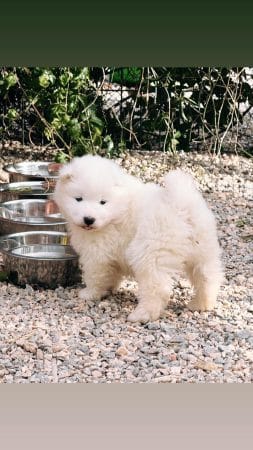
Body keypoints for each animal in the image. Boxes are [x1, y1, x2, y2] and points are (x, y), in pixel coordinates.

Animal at [52, 156, 221, 324]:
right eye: (78, 199)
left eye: (103, 202)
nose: (89, 219)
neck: (117, 210)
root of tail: (181, 205)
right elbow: (111, 274)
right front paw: (109, 289)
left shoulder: (97, 253)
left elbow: (95, 275)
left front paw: (89, 293)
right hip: (204, 251)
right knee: (208, 277)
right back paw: (201, 304)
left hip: (151, 253)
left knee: (157, 287)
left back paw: (141, 315)